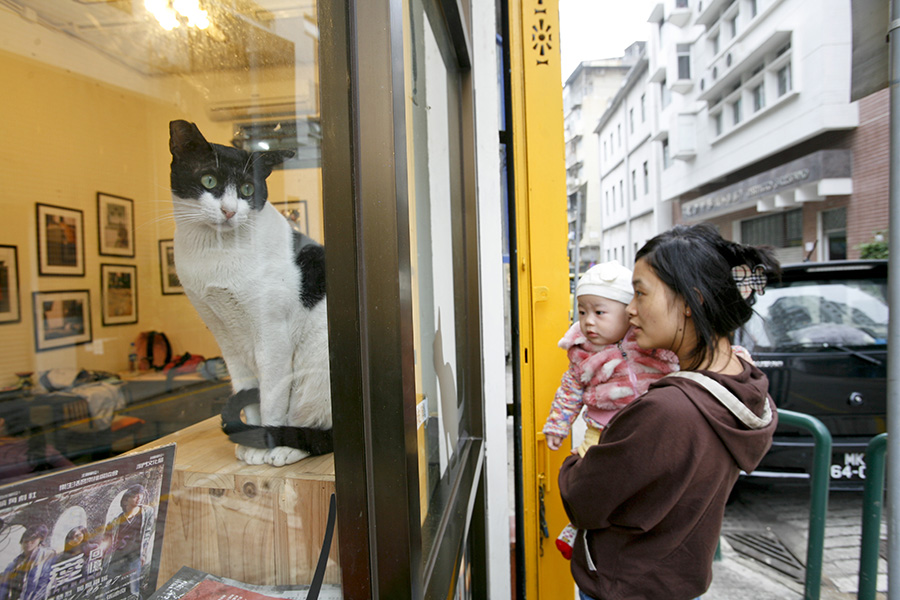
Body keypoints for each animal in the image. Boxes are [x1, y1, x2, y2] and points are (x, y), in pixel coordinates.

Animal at [168, 119, 330, 466]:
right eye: (209, 180)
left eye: (247, 190)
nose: (229, 211)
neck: (215, 255)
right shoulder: (228, 339)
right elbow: (250, 395)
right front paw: (252, 445)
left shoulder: (272, 338)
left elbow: (270, 400)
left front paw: (265, 443)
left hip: (316, 369)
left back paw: (289, 447)